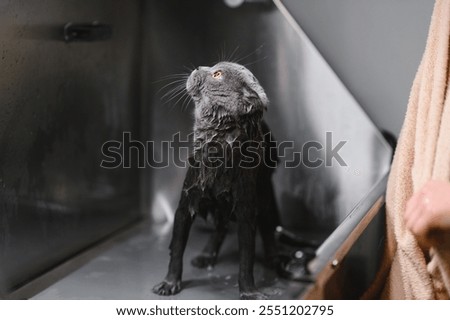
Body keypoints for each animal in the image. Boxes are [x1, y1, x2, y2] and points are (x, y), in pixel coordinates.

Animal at [153, 61, 278, 298]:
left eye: (217, 74)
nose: (197, 67)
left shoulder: (246, 212)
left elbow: (246, 259)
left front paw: (249, 292)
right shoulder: (185, 205)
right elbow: (177, 249)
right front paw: (169, 283)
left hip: (264, 196)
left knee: (268, 230)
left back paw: (277, 259)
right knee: (220, 228)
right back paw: (206, 256)